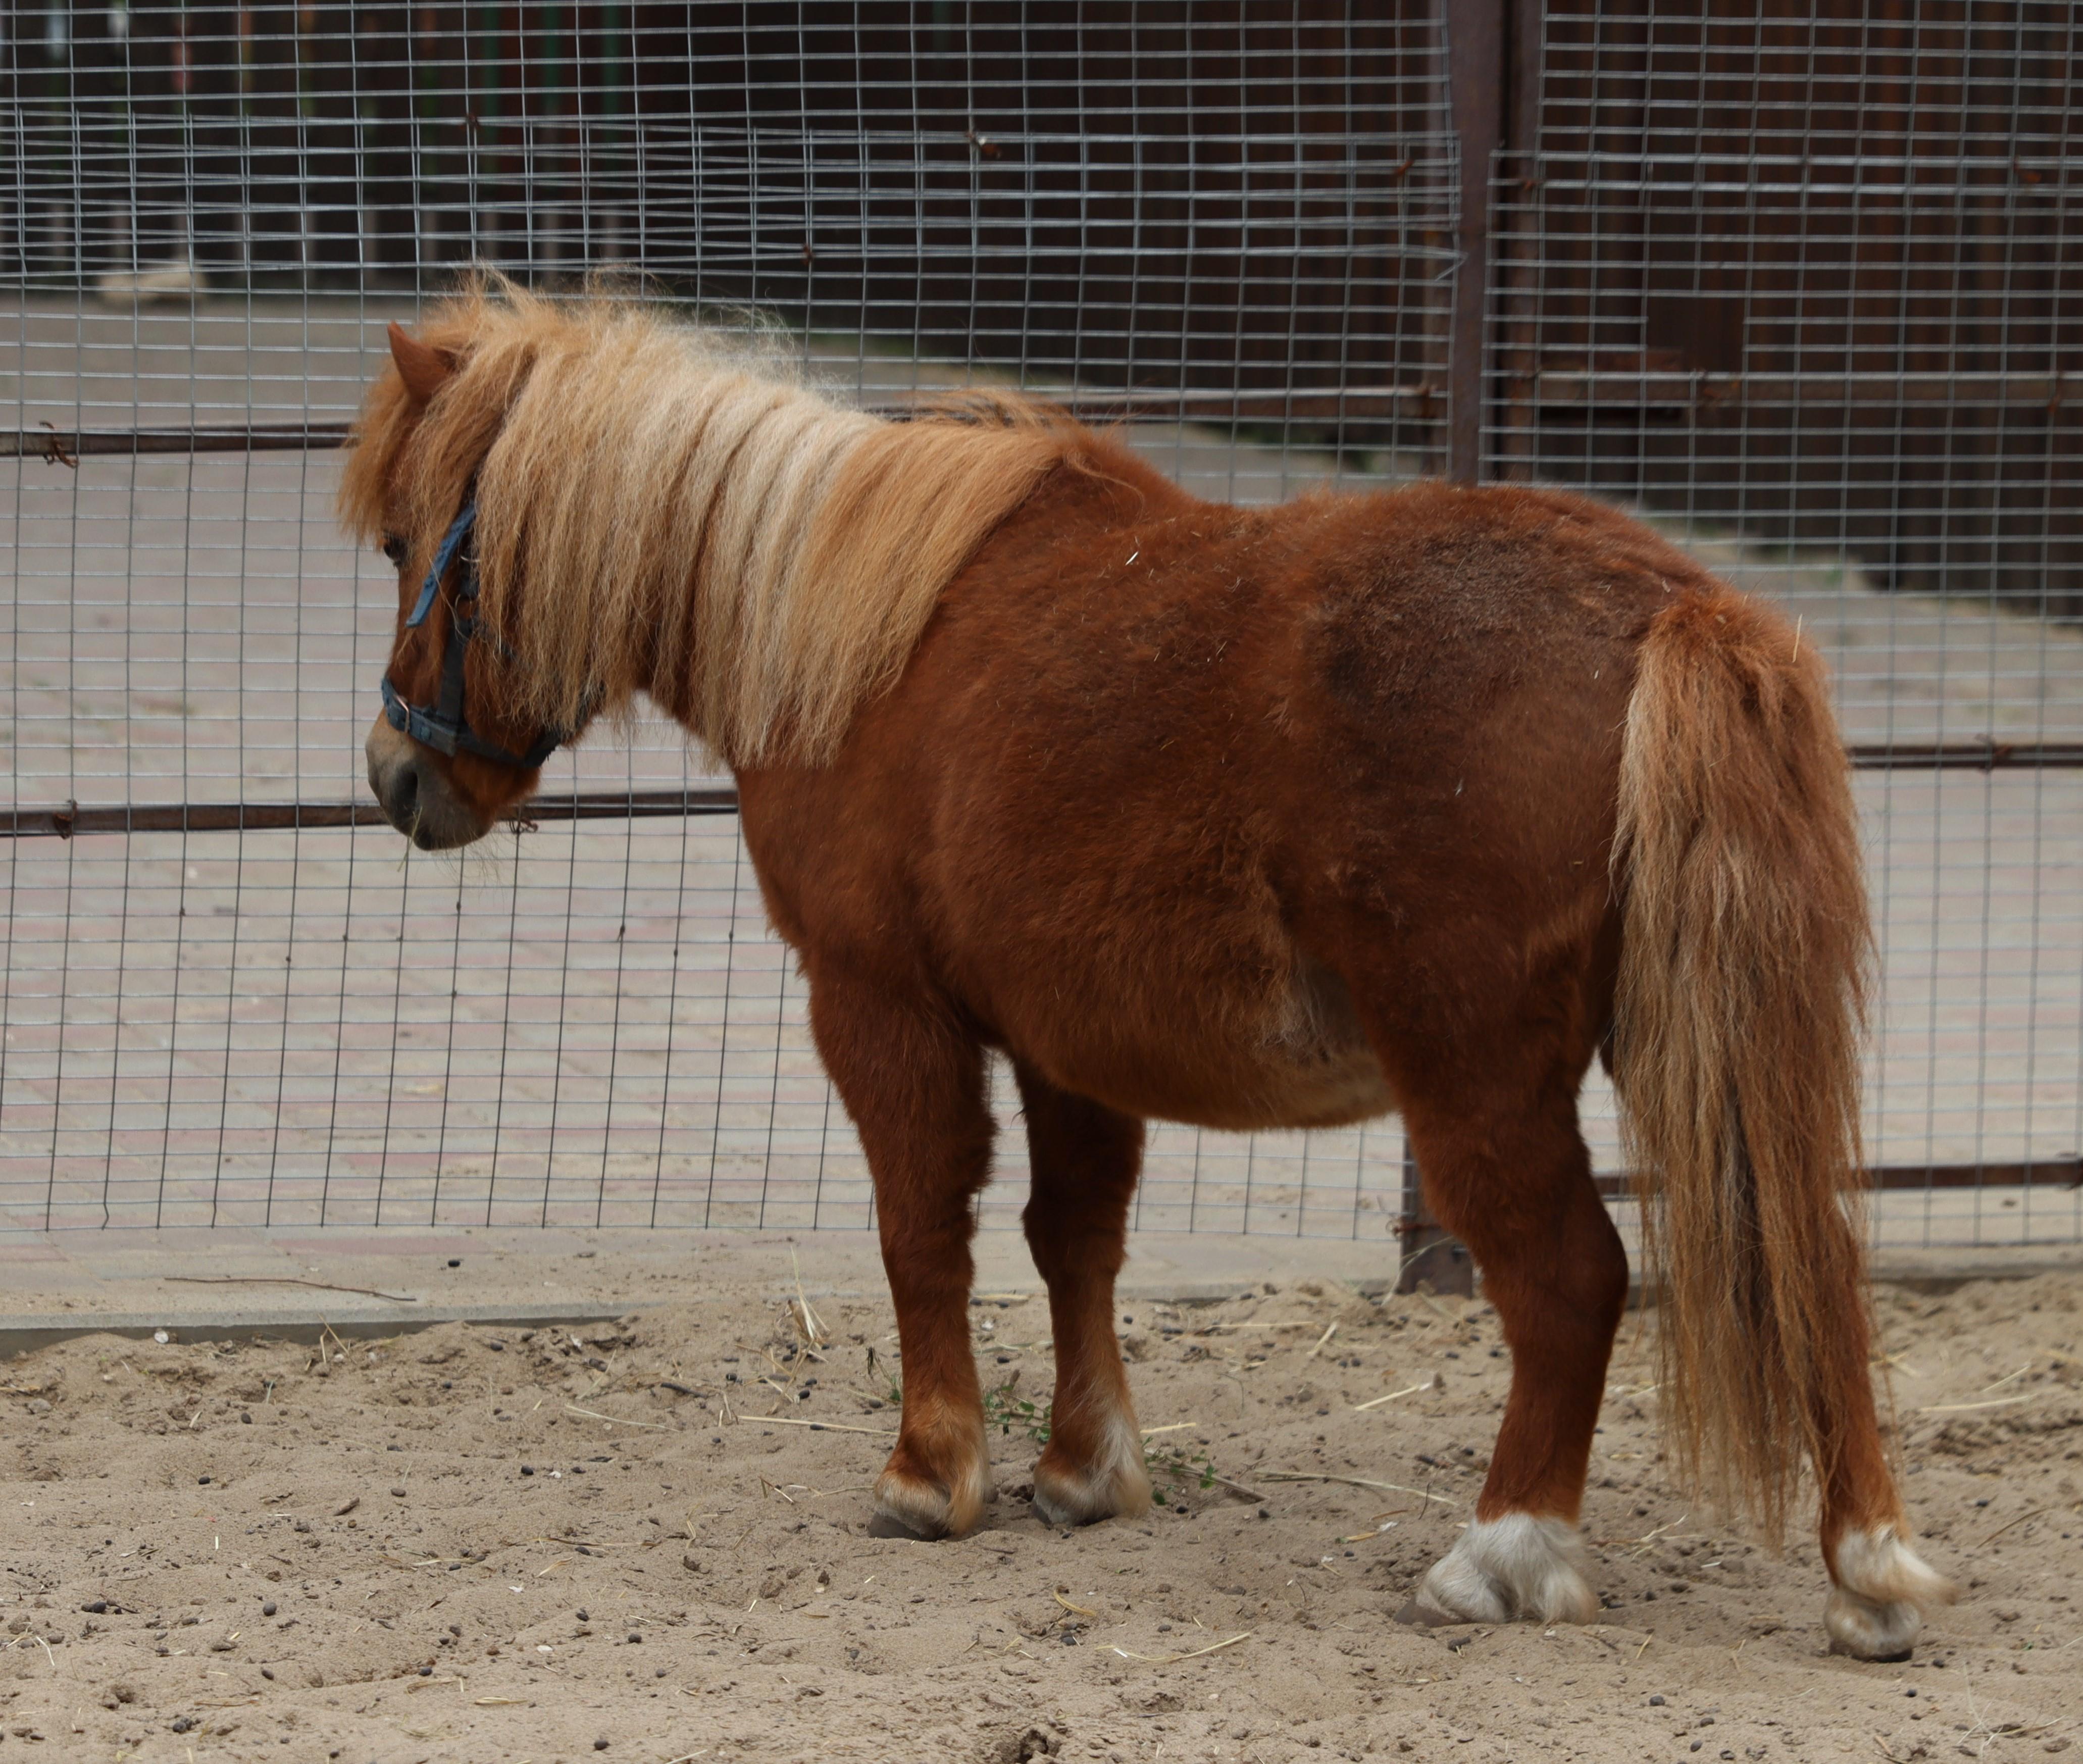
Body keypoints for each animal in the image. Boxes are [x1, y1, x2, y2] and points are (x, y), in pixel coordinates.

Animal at [341, 283, 1950, 1666]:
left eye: (422, 544)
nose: (397, 779)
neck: (851, 627)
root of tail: (1673, 610)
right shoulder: (1067, 1042)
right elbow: (1073, 1240)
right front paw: (1080, 1467)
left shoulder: (879, 1006)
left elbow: (922, 1230)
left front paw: (932, 1472)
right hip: (1719, 1058)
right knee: (1808, 1257)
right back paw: (1866, 1568)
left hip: (1477, 1078)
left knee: (1568, 1283)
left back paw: (1503, 1553)